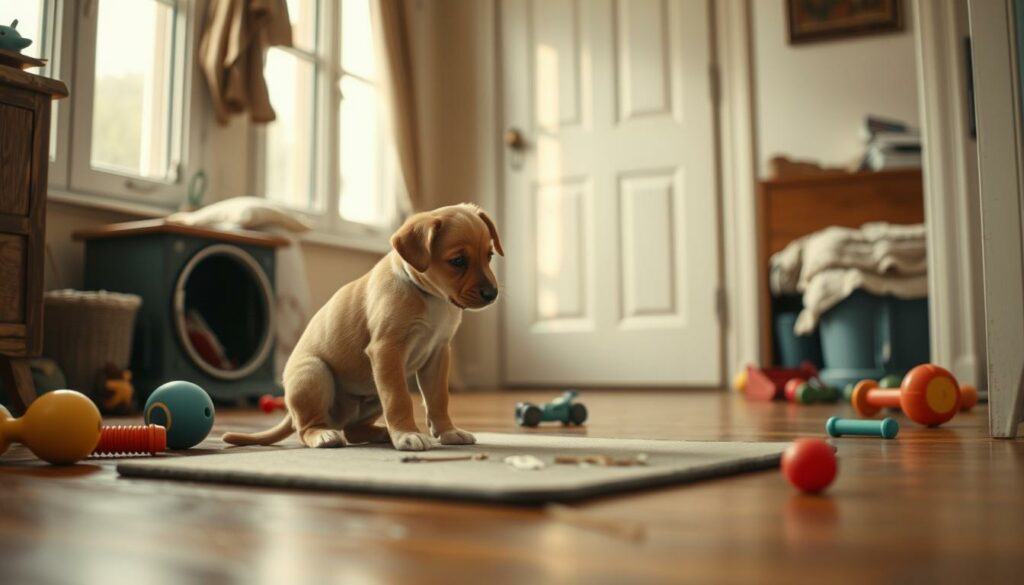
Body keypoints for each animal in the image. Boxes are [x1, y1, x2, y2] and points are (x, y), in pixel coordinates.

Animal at [222, 203, 501, 450]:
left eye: (489, 256)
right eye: (458, 261)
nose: (492, 294)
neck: (429, 296)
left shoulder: (438, 354)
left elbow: (438, 398)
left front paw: (448, 431)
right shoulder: (387, 350)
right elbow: (399, 399)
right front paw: (407, 435)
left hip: (372, 393)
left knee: (353, 430)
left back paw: (382, 433)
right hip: (315, 373)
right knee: (307, 428)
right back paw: (324, 436)